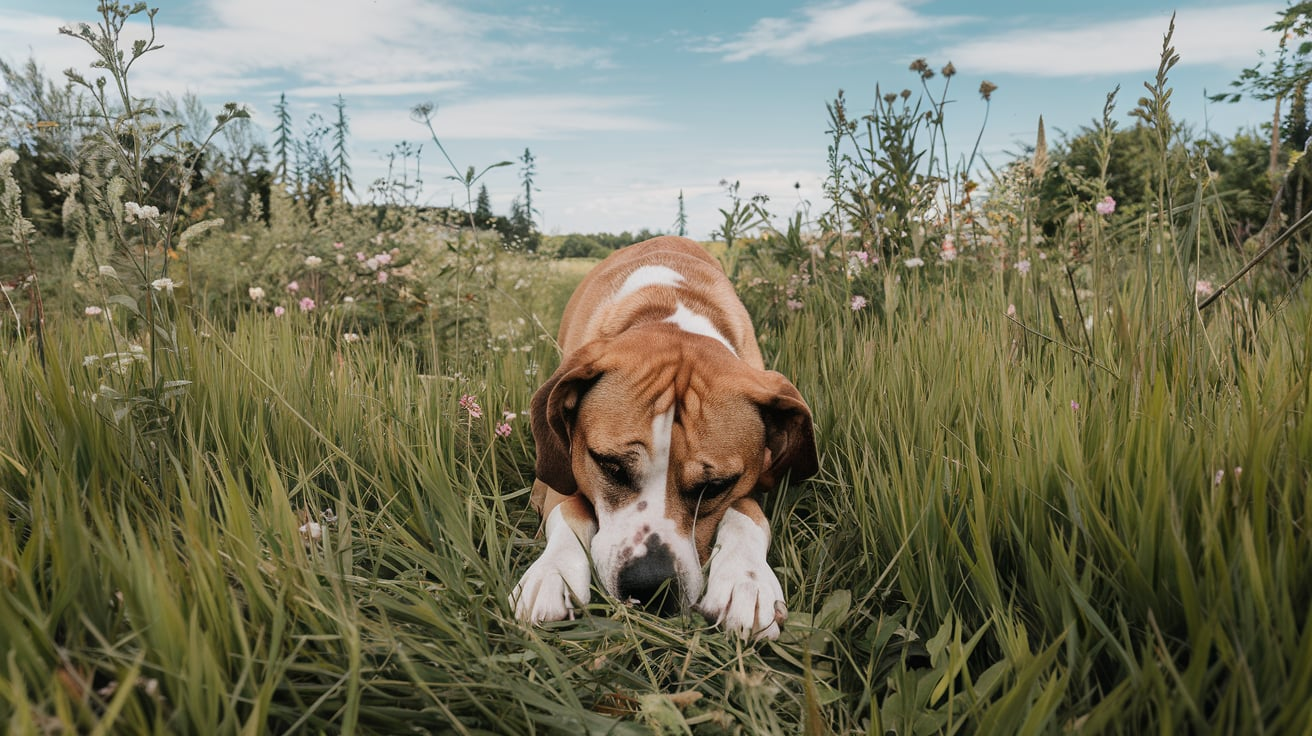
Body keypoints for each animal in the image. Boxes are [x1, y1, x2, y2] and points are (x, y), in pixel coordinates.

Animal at [506, 233, 813, 637]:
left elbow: (746, 512)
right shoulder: (558, 473)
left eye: (715, 487)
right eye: (610, 466)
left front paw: (745, 579)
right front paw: (554, 572)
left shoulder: (753, 477)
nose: (650, 586)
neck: (671, 316)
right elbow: (570, 508)